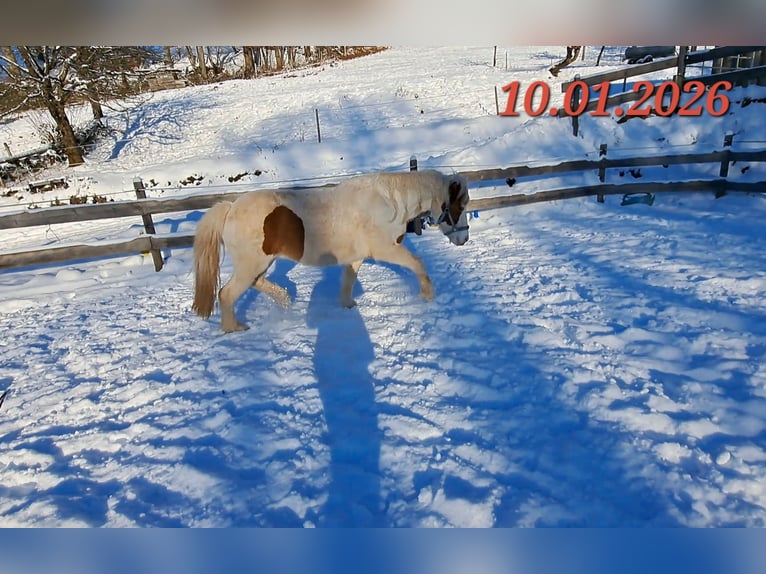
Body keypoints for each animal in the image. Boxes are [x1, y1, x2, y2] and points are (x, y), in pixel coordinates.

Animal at [192, 169, 470, 332]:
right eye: (459, 206)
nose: (464, 238)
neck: (387, 203)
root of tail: (230, 208)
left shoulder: (356, 257)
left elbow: (348, 282)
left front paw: (348, 306)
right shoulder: (386, 250)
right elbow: (417, 263)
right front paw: (427, 296)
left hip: (259, 263)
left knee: (255, 283)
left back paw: (284, 300)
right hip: (250, 264)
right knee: (227, 293)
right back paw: (234, 329)